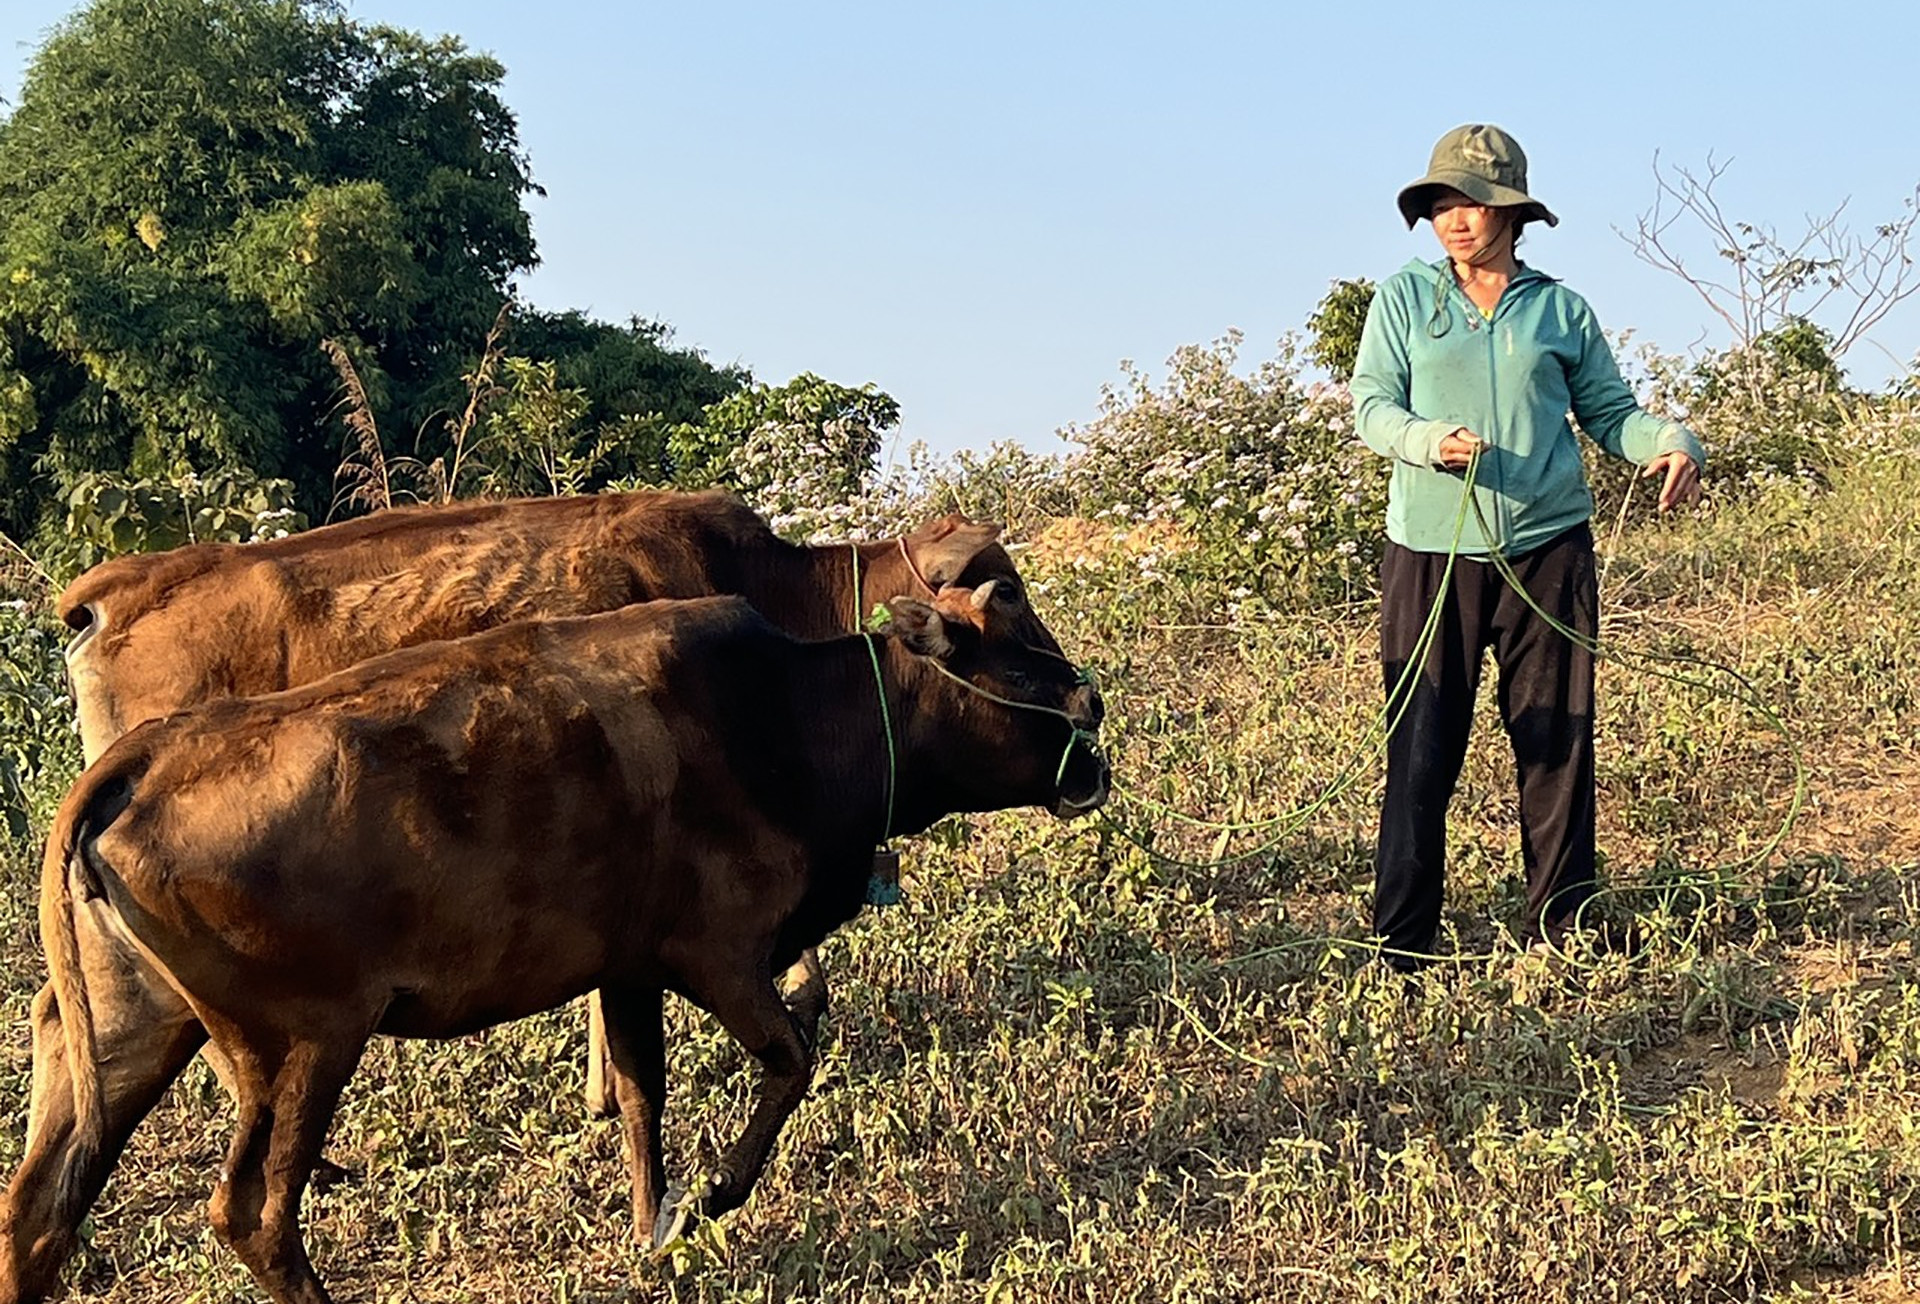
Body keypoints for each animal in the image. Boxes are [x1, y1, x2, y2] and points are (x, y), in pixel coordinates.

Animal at [3, 583, 1113, 1304]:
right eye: (1011, 653)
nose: (1093, 708)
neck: (789, 717)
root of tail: (143, 754)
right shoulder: (716, 955)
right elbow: (792, 1058)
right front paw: (708, 1201)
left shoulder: (625, 969)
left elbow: (639, 1093)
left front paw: (654, 1228)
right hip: (301, 1046)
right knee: (252, 1217)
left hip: (133, 1035)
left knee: (38, 1211)